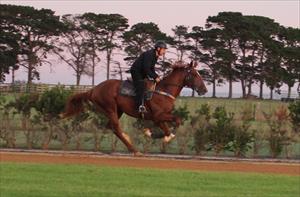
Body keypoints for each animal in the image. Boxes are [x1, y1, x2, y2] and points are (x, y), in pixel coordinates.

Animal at [61, 60, 206, 156]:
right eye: (194, 74)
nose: (204, 90)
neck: (164, 90)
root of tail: (94, 89)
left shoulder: (158, 118)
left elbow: (168, 128)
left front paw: (161, 135)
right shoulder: (158, 116)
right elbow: (177, 121)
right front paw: (152, 133)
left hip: (118, 111)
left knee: (112, 127)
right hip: (110, 108)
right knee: (116, 128)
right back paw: (134, 150)